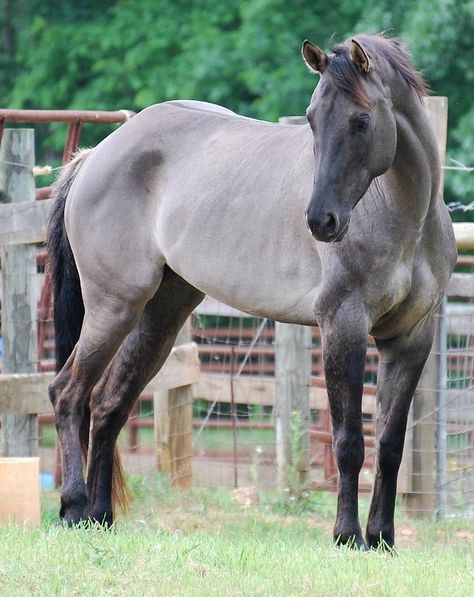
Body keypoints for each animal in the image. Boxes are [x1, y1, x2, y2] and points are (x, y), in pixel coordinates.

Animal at [47, 31, 456, 544]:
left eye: (361, 121)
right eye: (311, 119)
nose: (320, 221)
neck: (404, 217)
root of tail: (94, 157)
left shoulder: (411, 338)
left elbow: (389, 441)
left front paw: (381, 538)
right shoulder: (343, 324)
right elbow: (348, 441)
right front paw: (347, 536)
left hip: (160, 315)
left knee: (108, 405)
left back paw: (100, 517)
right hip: (114, 307)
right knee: (68, 395)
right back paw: (73, 508)